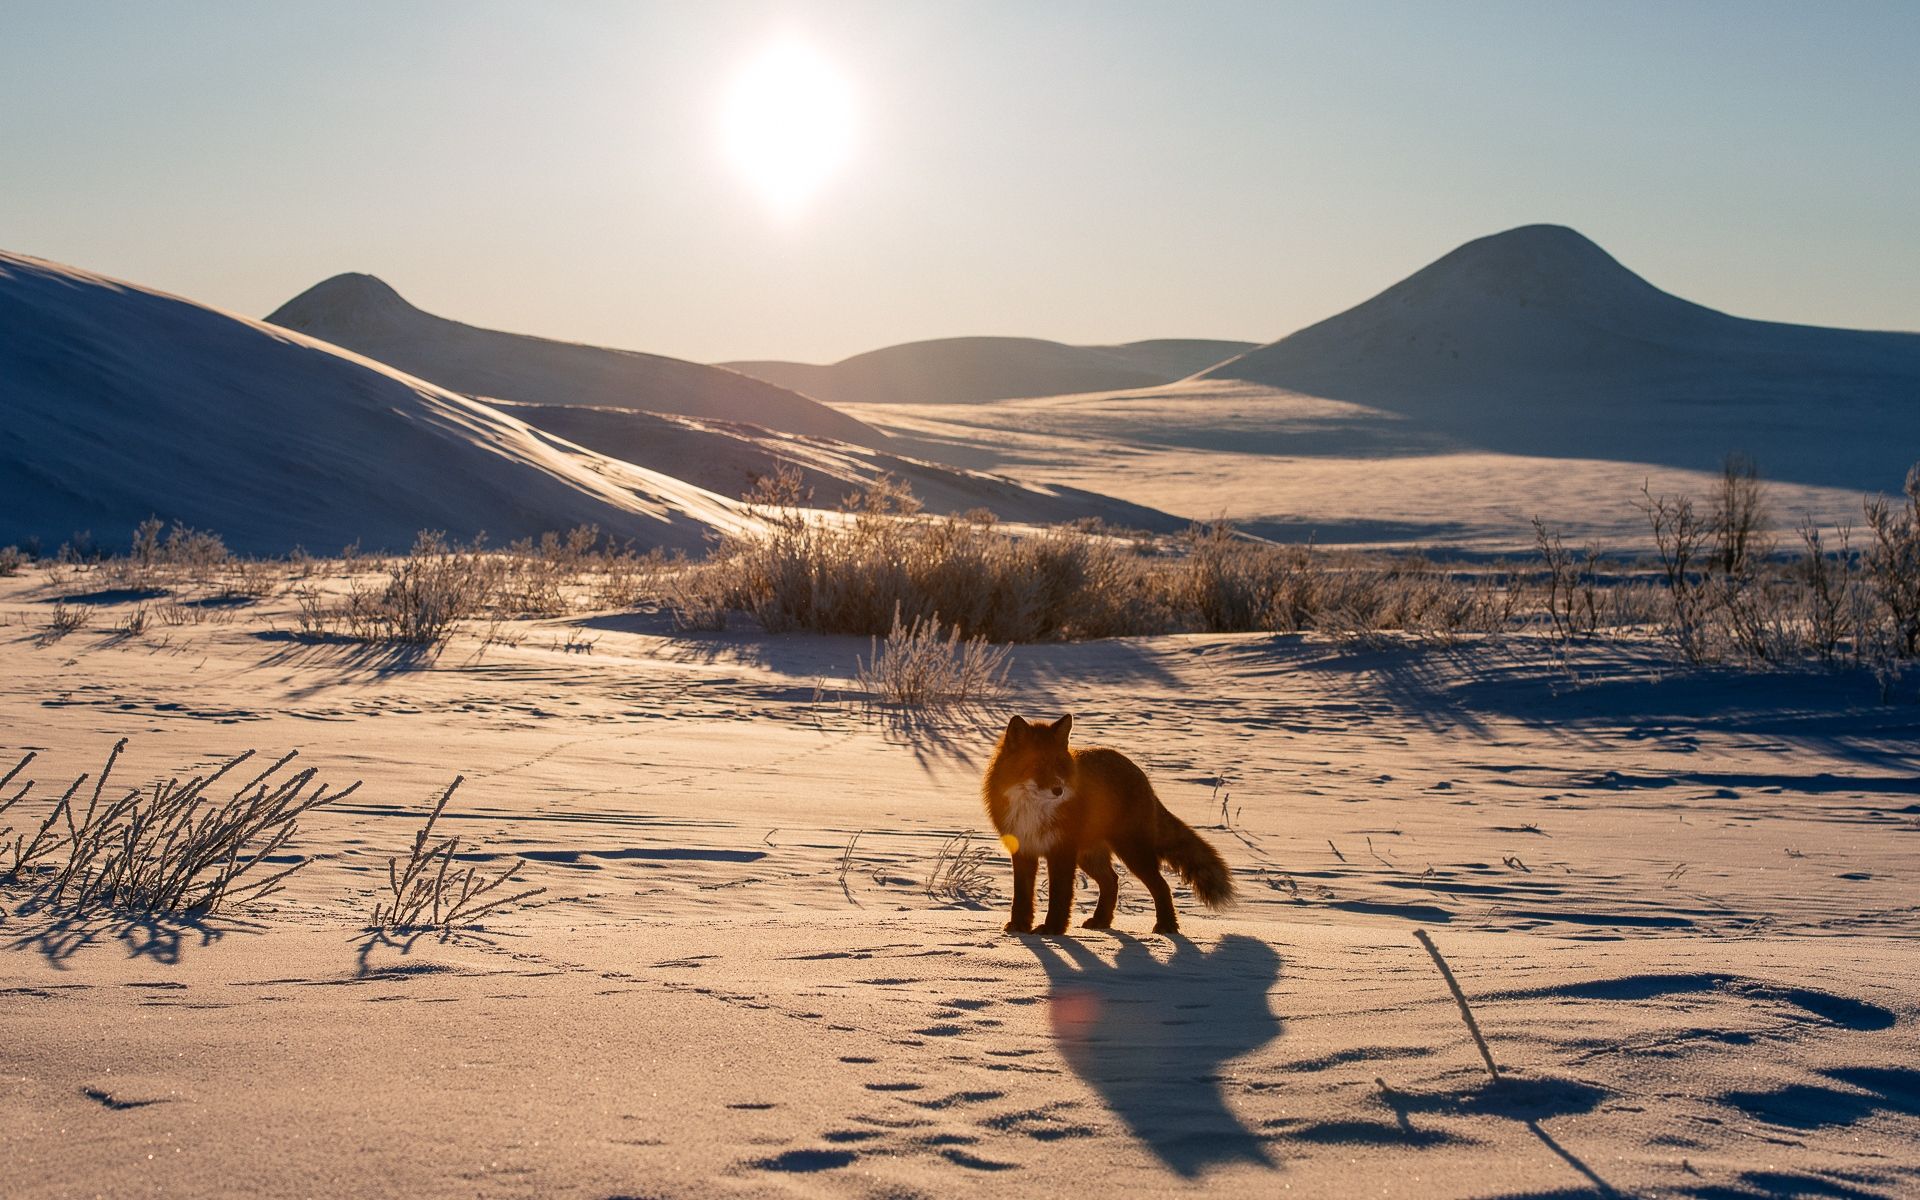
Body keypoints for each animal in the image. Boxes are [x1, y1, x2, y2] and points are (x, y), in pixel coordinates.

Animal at [983, 710, 1236, 936]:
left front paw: (1053, 929)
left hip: (1131, 852)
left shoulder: (1061, 851)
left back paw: (1166, 926)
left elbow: (1059, 896)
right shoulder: (1023, 848)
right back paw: (1102, 921)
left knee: (1161, 886)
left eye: (1059, 765)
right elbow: (1022, 896)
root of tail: (1139, 773)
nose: (1058, 790)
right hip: (1090, 856)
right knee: (1112, 882)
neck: (1033, 810)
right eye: (1036, 765)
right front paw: (1020, 926)